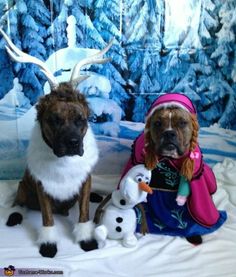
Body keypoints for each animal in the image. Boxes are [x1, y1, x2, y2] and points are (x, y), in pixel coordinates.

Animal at [0, 28, 112, 256]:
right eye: (54, 120)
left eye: (81, 119)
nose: (73, 142)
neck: (64, 164)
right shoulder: (42, 186)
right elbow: (47, 217)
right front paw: (48, 244)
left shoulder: (85, 181)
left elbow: (84, 212)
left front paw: (86, 238)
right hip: (23, 188)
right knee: (18, 203)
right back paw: (14, 216)